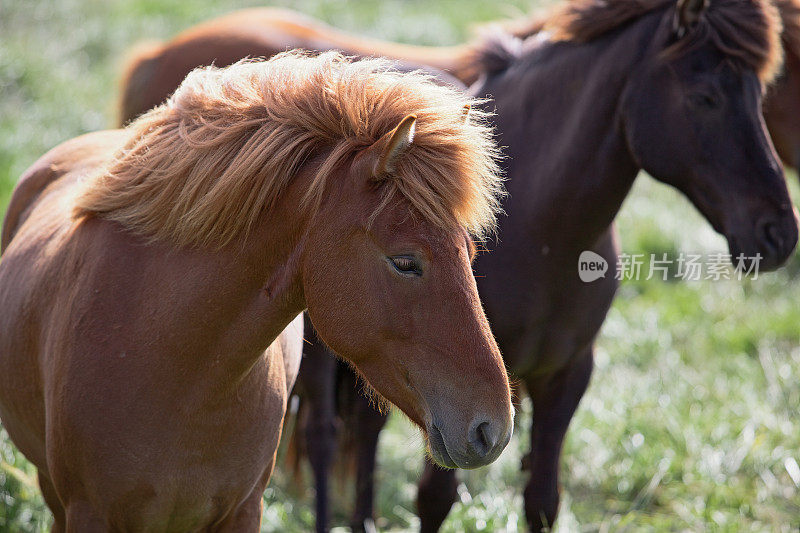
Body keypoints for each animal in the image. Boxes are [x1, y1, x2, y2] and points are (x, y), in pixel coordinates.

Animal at [117, 2, 800, 528]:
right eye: (706, 96)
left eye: (762, 93)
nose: (777, 232)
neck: (546, 225)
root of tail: (155, 53)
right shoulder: (456, 389)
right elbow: (435, 497)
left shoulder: (563, 377)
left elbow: (541, 501)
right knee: (324, 439)